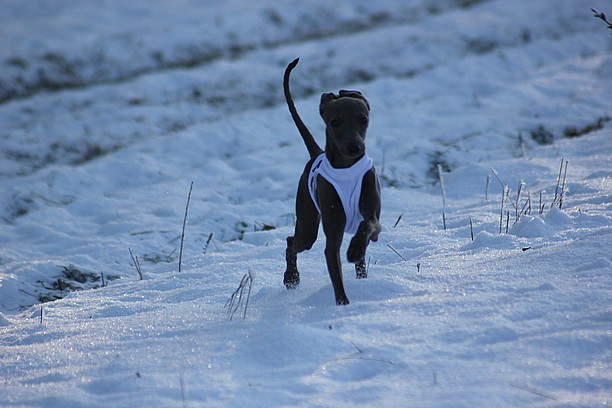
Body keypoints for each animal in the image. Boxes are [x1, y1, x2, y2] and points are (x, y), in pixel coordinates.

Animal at [284, 58, 382, 306]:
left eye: (363, 119)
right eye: (335, 122)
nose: (354, 147)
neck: (346, 168)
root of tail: (316, 152)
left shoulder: (373, 217)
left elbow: (368, 226)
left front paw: (355, 248)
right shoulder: (333, 237)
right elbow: (336, 275)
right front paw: (342, 306)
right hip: (307, 225)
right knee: (292, 241)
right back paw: (291, 277)